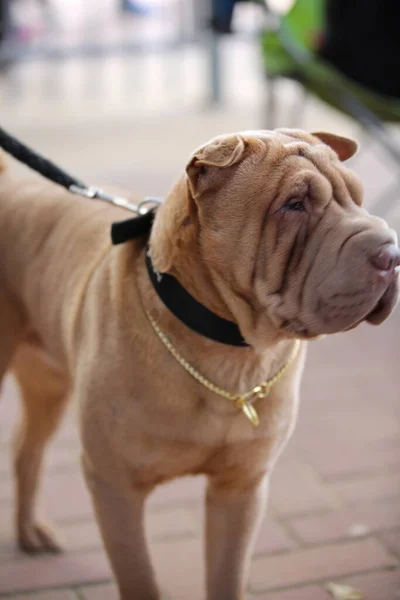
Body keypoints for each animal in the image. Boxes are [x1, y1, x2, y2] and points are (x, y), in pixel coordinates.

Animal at [0, 129, 398, 596]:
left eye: (357, 197)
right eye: (294, 204)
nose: (392, 254)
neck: (229, 349)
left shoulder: (241, 487)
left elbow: (227, 574)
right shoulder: (115, 484)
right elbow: (139, 577)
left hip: (49, 381)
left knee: (28, 448)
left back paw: (30, 531)